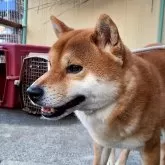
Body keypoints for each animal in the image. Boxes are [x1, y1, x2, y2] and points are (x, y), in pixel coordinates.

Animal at [26, 14, 165, 165]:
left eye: (74, 68)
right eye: (50, 64)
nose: (31, 92)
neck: (114, 107)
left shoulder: (151, 148)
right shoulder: (100, 143)